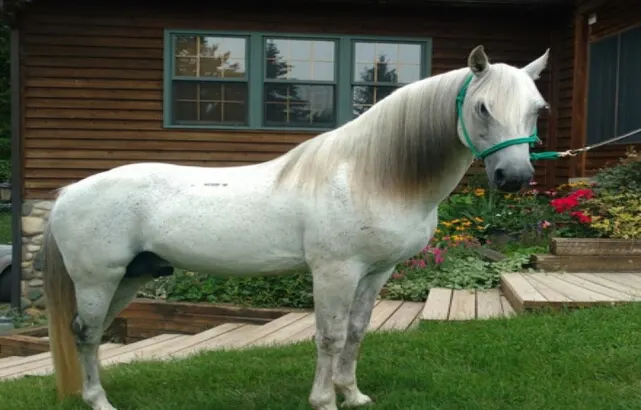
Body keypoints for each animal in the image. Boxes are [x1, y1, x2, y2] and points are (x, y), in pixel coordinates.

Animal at [42, 45, 549, 410]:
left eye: (538, 109)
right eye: (482, 107)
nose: (514, 177)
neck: (368, 175)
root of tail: (68, 193)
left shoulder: (376, 273)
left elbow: (357, 331)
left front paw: (353, 395)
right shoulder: (335, 272)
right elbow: (330, 335)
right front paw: (324, 401)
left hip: (132, 277)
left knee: (93, 332)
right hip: (98, 279)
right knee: (86, 334)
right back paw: (100, 402)